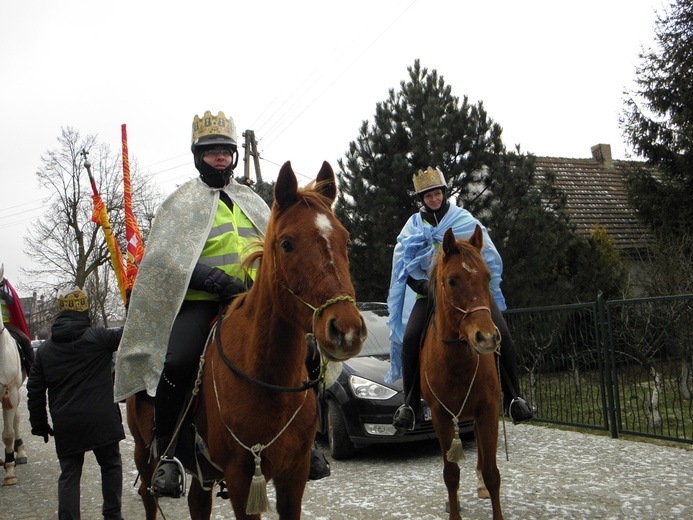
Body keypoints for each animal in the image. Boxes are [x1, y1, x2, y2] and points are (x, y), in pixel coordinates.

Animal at [125, 160, 364, 516]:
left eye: (345, 239)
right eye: (287, 243)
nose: (345, 330)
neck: (267, 379)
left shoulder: (294, 476)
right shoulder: (241, 478)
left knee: (197, 501)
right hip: (144, 452)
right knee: (148, 496)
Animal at [418, 228, 506, 520]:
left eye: (488, 277)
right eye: (452, 281)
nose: (487, 338)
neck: (457, 364)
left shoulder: (488, 409)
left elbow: (492, 473)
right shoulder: (440, 416)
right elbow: (451, 474)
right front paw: (453, 510)